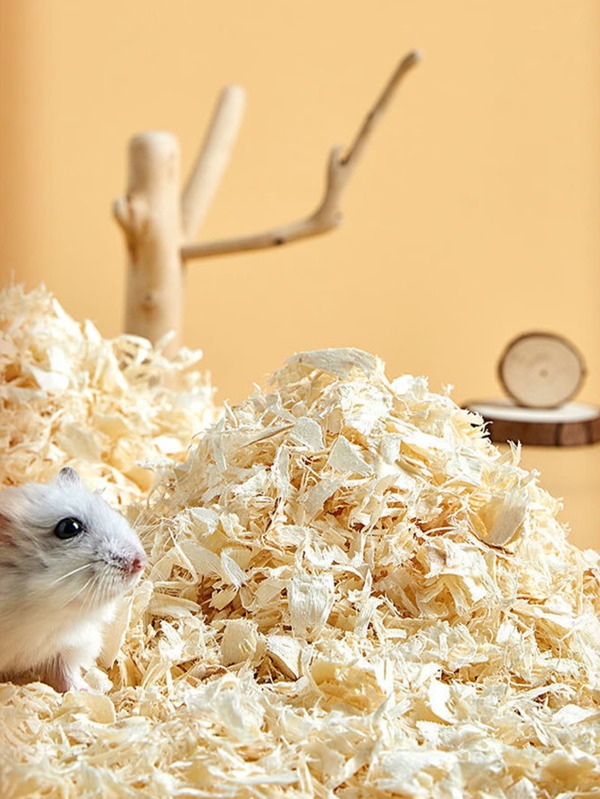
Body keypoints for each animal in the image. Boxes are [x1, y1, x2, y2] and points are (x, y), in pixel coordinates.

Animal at [0, 467, 146, 692]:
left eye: (107, 507)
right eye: (69, 527)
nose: (141, 562)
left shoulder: (69, 644)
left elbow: (66, 674)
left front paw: (90, 692)